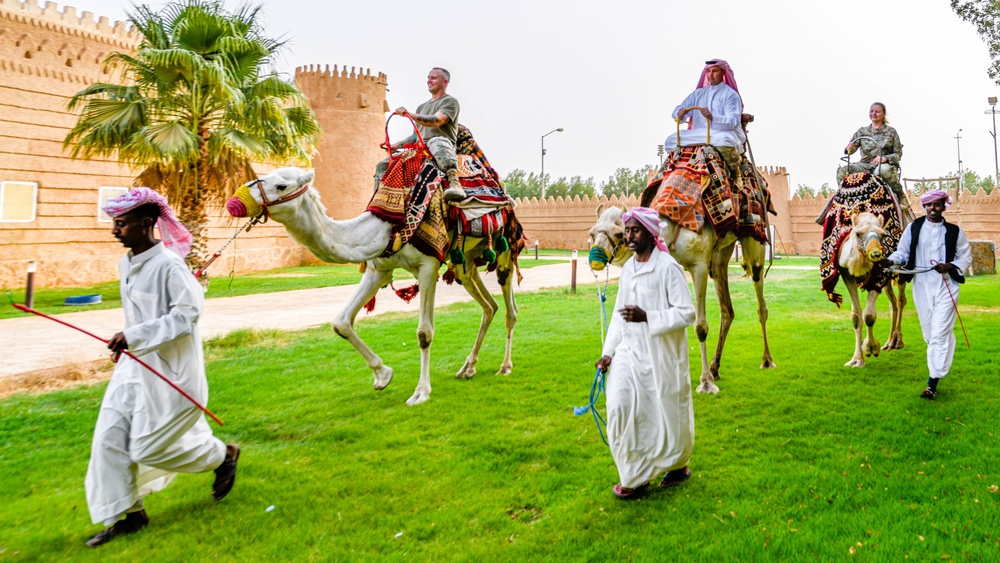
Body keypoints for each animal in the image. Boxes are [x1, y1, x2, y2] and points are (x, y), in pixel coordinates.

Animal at [228, 167, 520, 406]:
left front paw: (420, 392)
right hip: (465, 261)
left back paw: (505, 366)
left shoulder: (428, 266)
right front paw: (383, 376)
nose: (235, 202)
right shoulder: (378, 268)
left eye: (281, 186)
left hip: (504, 248)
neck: (383, 227)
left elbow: (424, 333)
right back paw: (467, 368)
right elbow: (341, 322)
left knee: (509, 308)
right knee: (488, 305)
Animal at [588, 205, 776, 394]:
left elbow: (700, 326)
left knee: (760, 298)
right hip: (721, 254)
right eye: (592, 233)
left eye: (620, 233)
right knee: (726, 309)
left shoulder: (699, 265)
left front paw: (705, 382)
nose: (595, 259)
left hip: (755, 240)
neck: (670, 230)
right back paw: (715, 368)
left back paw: (767, 360)